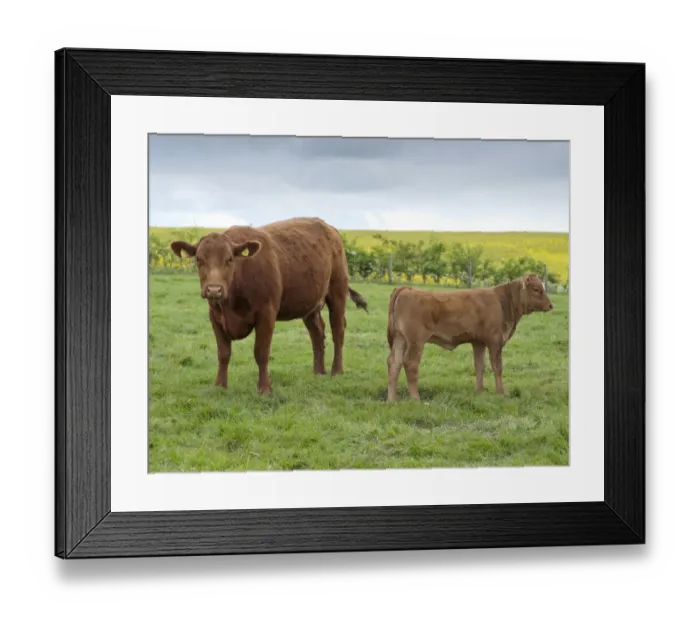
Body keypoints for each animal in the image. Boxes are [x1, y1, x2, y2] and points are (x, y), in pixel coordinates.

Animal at [170, 217, 368, 395]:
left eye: (229, 259)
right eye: (199, 259)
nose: (213, 289)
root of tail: (330, 228)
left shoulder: (267, 313)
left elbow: (261, 352)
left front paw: (264, 389)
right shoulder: (215, 316)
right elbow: (223, 353)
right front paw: (220, 386)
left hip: (337, 291)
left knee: (338, 330)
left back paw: (336, 371)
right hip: (310, 303)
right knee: (317, 332)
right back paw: (318, 371)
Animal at [385, 273, 554, 402]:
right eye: (537, 289)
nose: (551, 305)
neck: (504, 302)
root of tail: (407, 289)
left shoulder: (478, 341)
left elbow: (480, 366)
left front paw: (479, 391)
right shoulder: (495, 340)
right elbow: (497, 367)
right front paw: (501, 392)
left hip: (400, 339)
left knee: (394, 363)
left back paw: (391, 400)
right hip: (416, 341)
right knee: (410, 364)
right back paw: (416, 399)